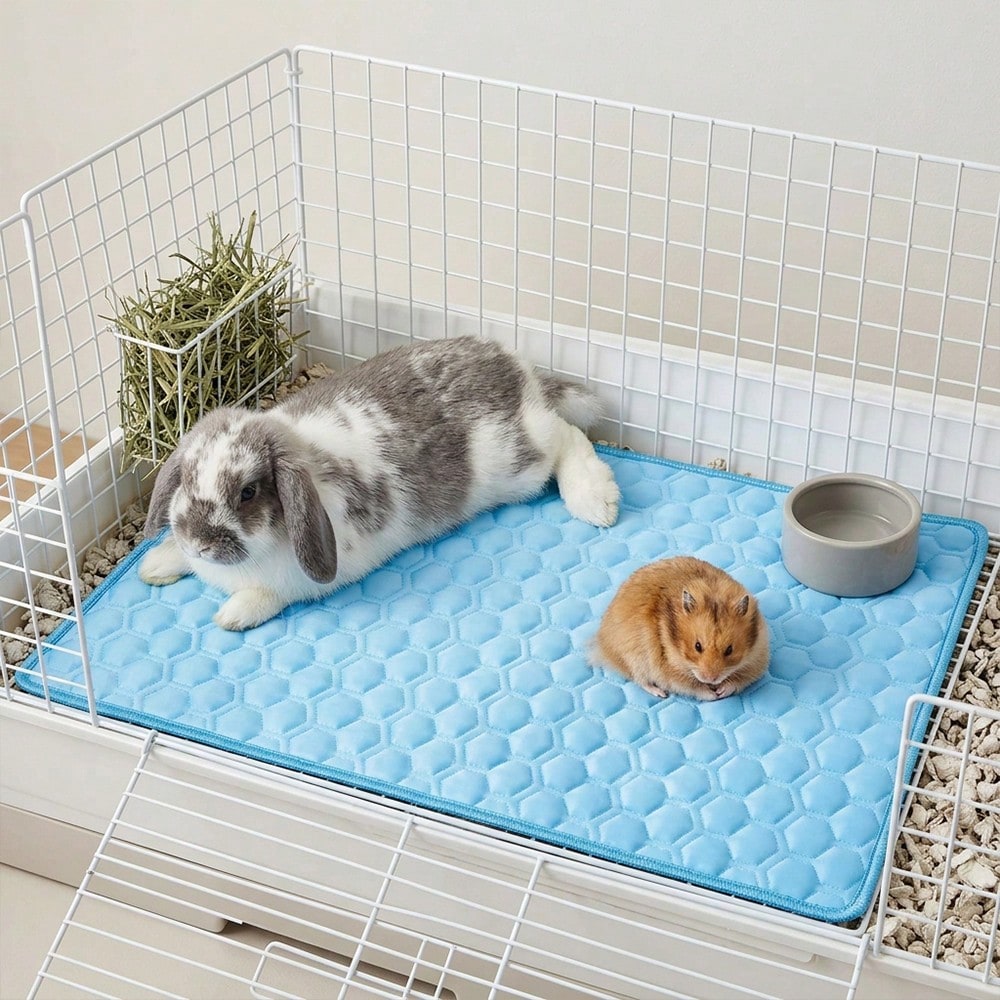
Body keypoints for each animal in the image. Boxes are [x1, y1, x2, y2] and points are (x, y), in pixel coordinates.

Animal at [138, 336, 621, 630]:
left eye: (248, 492)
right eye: (186, 479)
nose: (200, 543)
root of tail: (519, 370)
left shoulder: (294, 584)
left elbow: (268, 596)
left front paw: (232, 615)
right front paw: (157, 565)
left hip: (521, 460)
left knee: (567, 436)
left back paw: (597, 501)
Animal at [592, 556, 770, 700]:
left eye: (729, 650)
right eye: (697, 646)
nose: (710, 679)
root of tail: (602, 644)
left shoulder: (757, 659)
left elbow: (738, 681)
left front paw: (721, 691)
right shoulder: (671, 674)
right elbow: (694, 687)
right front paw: (713, 694)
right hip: (636, 658)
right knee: (640, 680)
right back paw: (661, 694)